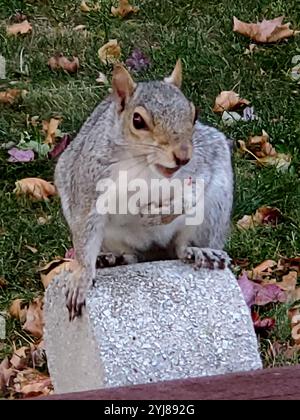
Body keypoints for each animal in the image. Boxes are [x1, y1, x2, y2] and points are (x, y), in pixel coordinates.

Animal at [55, 60, 233, 320]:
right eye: (137, 121)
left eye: (195, 114)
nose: (182, 156)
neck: (143, 164)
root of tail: (155, 253)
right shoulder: (88, 187)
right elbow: (85, 233)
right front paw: (82, 277)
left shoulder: (203, 162)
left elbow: (192, 193)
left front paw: (157, 215)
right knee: (132, 256)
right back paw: (114, 258)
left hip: (211, 212)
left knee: (182, 247)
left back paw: (199, 251)